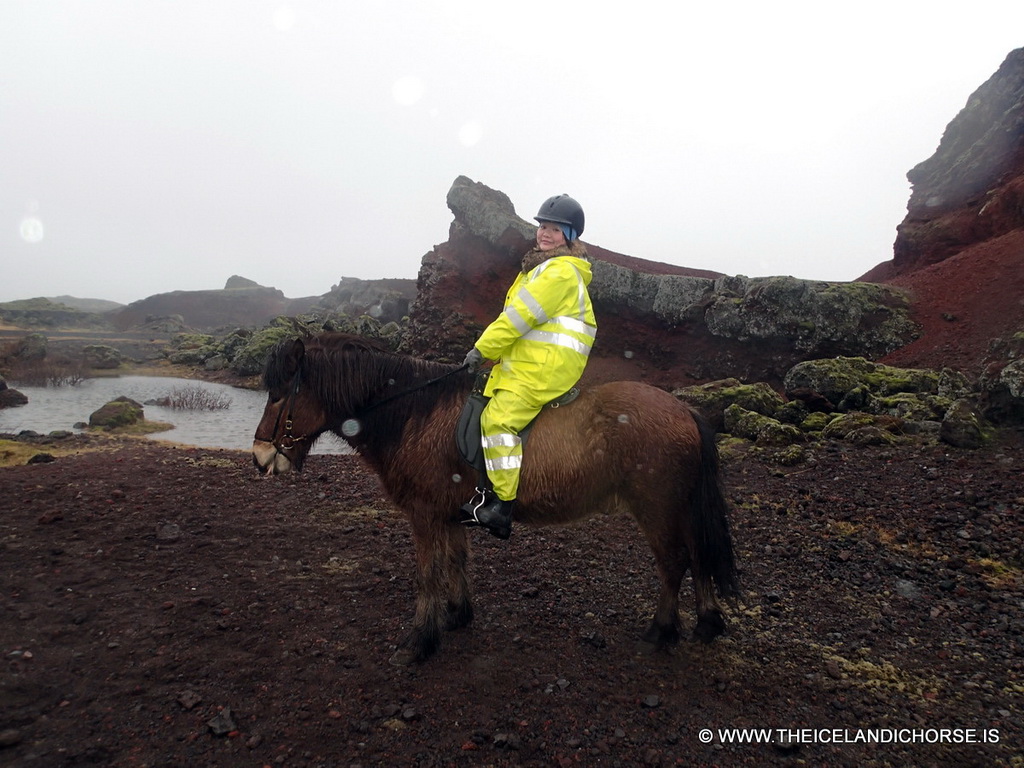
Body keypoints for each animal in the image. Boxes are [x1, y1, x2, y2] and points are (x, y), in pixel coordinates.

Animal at [251, 333, 741, 663]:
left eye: (278, 395)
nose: (258, 457)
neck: (415, 413)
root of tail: (684, 409)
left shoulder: (424, 515)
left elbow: (427, 574)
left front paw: (419, 641)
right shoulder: (449, 514)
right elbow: (456, 561)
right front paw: (457, 614)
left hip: (657, 509)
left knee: (675, 562)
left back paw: (662, 629)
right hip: (679, 507)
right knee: (699, 557)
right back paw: (707, 621)